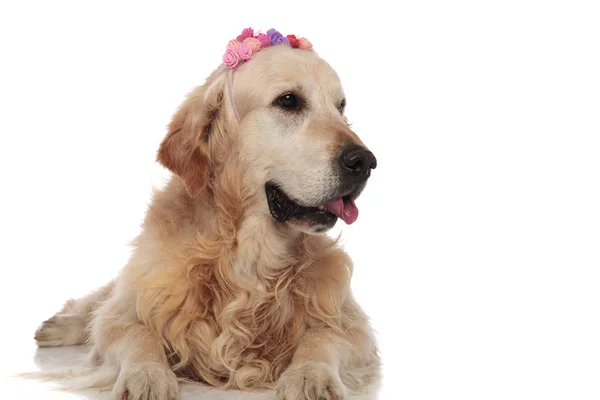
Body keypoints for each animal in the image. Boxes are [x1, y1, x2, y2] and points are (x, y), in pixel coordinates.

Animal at [34, 29, 380, 398]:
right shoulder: (131, 305)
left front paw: (309, 375)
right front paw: (147, 375)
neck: (246, 253)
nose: (365, 161)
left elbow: (321, 338)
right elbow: (135, 332)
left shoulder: (352, 323)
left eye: (340, 106)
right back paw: (59, 326)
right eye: (289, 101)